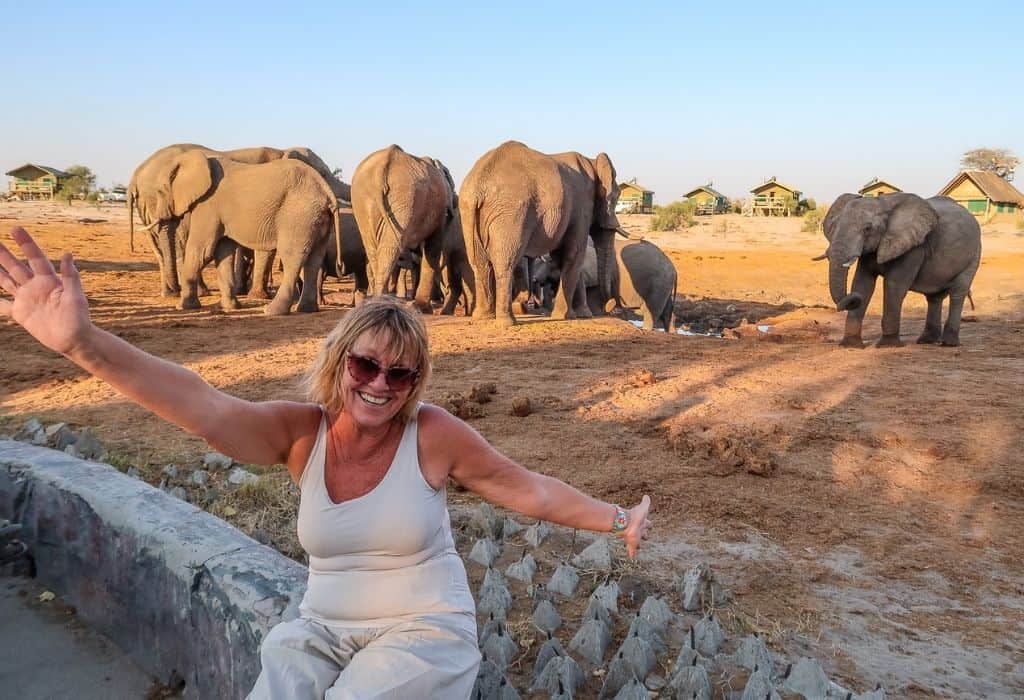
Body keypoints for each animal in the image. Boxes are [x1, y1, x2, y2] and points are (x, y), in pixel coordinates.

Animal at [348, 145, 468, 315]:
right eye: (452, 185)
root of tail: (381, 170)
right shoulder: (439, 208)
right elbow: (432, 249)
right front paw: (424, 308)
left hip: (364, 201)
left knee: (374, 249)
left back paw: (376, 300)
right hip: (405, 198)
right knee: (390, 248)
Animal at [458, 143, 622, 331]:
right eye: (616, 197)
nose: (610, 306)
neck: (592, 161)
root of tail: (478, 186)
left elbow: (562, 257)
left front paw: (581, 315)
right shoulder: (581, 206)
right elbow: (574, 254)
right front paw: (565, 316)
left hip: (467, 212)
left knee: (479, 264)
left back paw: (483, 317)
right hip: (511, 214)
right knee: (505, 263)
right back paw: (507, 322)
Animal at [819, 191, 978, 347]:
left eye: (867, 229)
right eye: (833, 227)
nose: (851, 299)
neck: (883, 203)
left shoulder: (914, 247)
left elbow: (894, 286)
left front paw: (888, 345)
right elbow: (862, 284)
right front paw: (851, 345)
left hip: (973, 255)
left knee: (958, 292)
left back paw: (949, 343)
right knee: (934, 298)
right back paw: (926, 340)